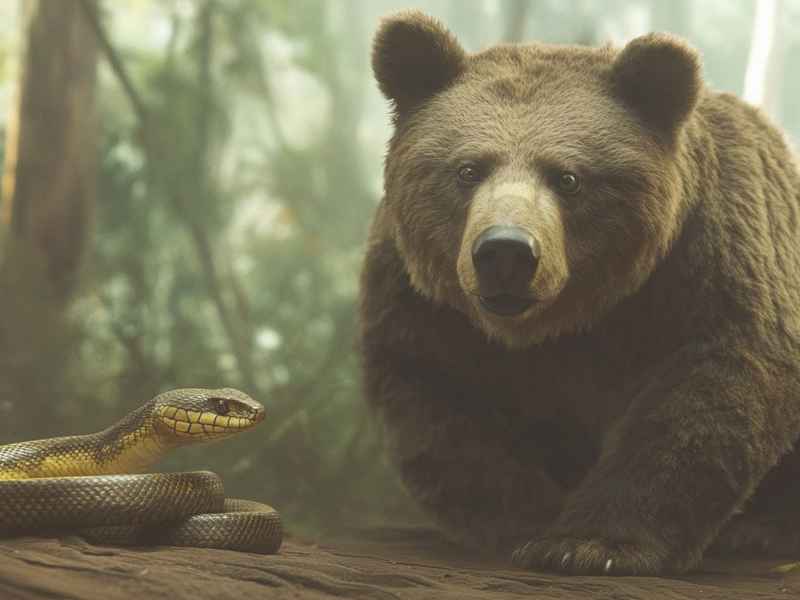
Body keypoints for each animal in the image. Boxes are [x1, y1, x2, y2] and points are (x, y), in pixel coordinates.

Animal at [358, 10, 800, 576]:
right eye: (467, 169)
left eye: (568, 177)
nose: (505, 251)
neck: (571, 320)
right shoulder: (426, 301)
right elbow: (443, 406)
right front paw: (527, 524)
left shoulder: (709, 260)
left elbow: (708, 390)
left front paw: (590, 544)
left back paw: (760, 531)